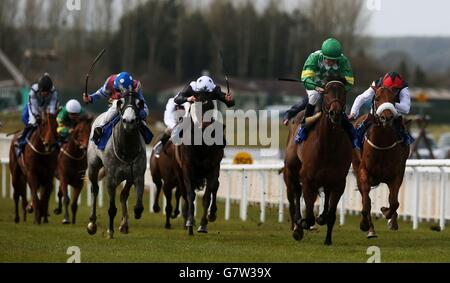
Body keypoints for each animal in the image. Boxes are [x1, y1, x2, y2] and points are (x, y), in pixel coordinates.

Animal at [85, 93, 146, 240]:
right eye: (121, 102)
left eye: (139, 103)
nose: (129, 121)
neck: (127, 150)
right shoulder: (111, 179)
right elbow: (112, 209)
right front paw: (110, 231)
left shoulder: (138, 175)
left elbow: (138, 207)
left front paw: (126, 222)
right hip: (93, 166)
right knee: (95, 189)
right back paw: (92, 224)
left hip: (128, 177)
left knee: (123, 195)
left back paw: (124, 224)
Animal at [286, 80, 354, 246]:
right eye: (326, 93)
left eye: (343, 93)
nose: (335, 113)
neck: (328, 145)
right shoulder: (307, 179)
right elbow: (309, 215)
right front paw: (302, 223)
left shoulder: (339, 182)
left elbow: (331, 214)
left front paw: (328, 239)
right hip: (291, 168)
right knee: (296, 191)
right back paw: (297, 225)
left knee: (326, 194)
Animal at [352, 87, 412, 239]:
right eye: (377, 97)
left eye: (393, 99)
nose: (386, 118)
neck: (382, 145)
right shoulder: (364, 172)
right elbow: (366, 202)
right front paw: (365, 225)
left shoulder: (396, 175)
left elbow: (394, 202)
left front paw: (386, 212)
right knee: (364, 197)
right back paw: (370, 229)